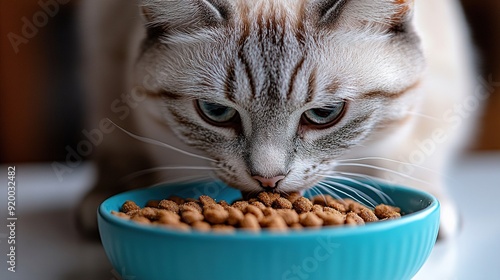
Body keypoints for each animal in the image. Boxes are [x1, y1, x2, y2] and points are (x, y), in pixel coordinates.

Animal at [78, 0, 476, 241]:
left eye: (324, 114)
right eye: (216, 112)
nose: (268, 180)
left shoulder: (443, 91)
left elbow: (415, 156)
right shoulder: (109, 61)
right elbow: (118, 147)